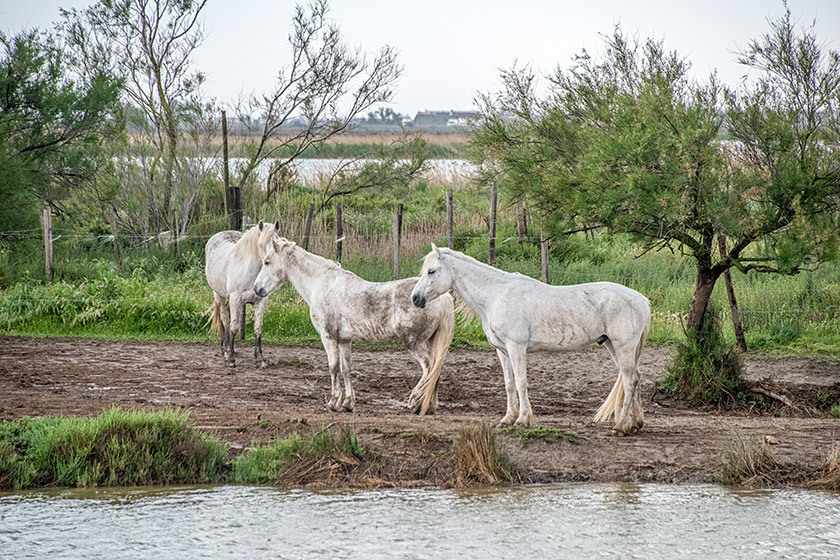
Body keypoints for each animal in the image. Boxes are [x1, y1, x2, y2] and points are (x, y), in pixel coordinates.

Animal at [204, 221, 278, 370]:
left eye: (277, 240)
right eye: (262, 243)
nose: (271, 260)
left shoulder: (261, 301)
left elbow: (258, 328)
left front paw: (260, 358)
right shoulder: (235, 299)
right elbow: (233, 327)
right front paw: (231, 359)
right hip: (220, 296)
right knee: (225, 320)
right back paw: (226, 351)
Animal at [254, 234, 456, 414]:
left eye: (267, 262)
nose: (257, 289)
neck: (322, 284)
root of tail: (440, 297)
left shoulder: (328, 337)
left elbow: (333, 367)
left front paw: (333, 402)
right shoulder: (344, 340)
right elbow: (346, 369)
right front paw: (347, 404)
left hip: (414, 343)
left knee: (429, 368)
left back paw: (415, 402)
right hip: (429, 341)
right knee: (436, 369)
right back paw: (428, 406)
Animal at [408, 244, 648, 434]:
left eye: (431, 271)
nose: (415, 298)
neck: (496, 295)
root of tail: (642, 300)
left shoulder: (516, 347)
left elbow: (521, 382)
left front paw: (523, 420)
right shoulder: (502, 351)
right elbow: (509, 384)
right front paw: (507, 419)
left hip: (623, 347)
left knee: (629, 380)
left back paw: (621, 426)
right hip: (611, 345)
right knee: (634, 378)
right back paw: (634, 424)